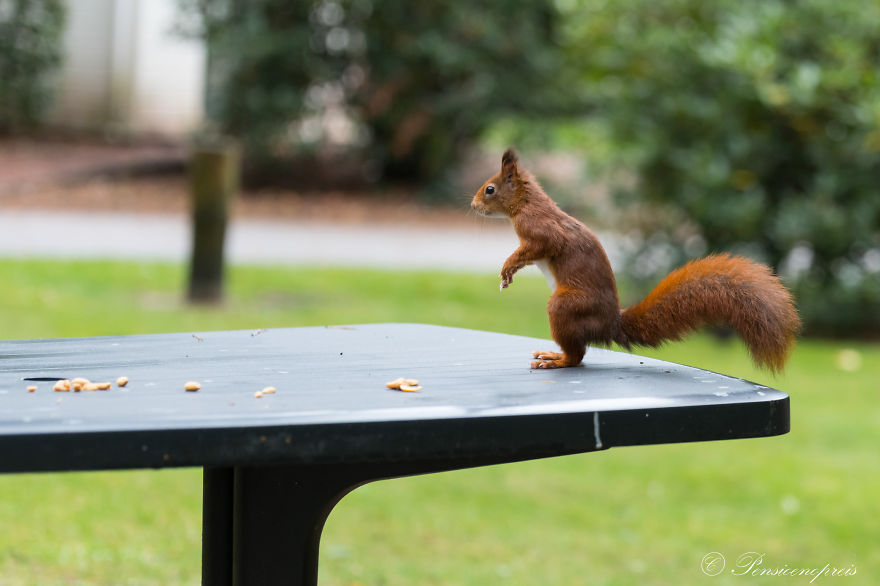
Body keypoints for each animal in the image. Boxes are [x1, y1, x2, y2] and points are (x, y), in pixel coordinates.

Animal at [471, 148, 801, 371]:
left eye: (490, 189)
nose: (472, 206)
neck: (526, 202)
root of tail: (610, 324)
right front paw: (509, 272)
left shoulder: (540, 230)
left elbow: (540, 245)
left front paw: (507, 267)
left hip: (565, 306)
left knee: (577, 356)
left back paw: (557, 360)